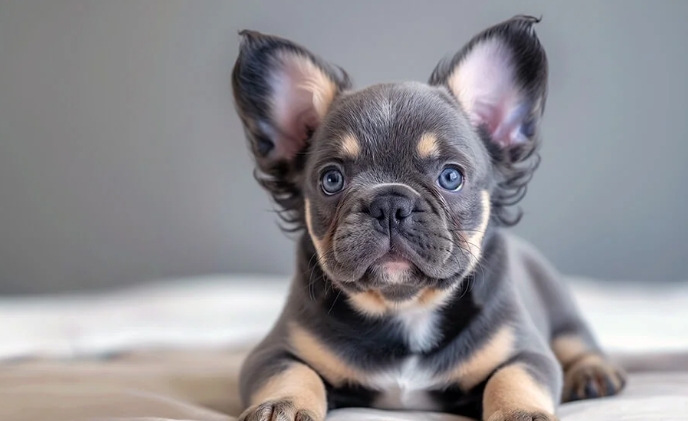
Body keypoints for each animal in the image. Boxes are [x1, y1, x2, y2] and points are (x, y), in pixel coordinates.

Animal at [230, 13, 624, 420]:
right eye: (331, 180)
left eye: (450, 177)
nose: (389, 204)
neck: (405, 307)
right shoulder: (274, 351)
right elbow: (291, 372)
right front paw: (283, 405)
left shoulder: (525, 350)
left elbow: (512, 378)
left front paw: (520, 414)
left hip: (560, 304)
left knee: (576, 339)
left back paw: (594, 373)